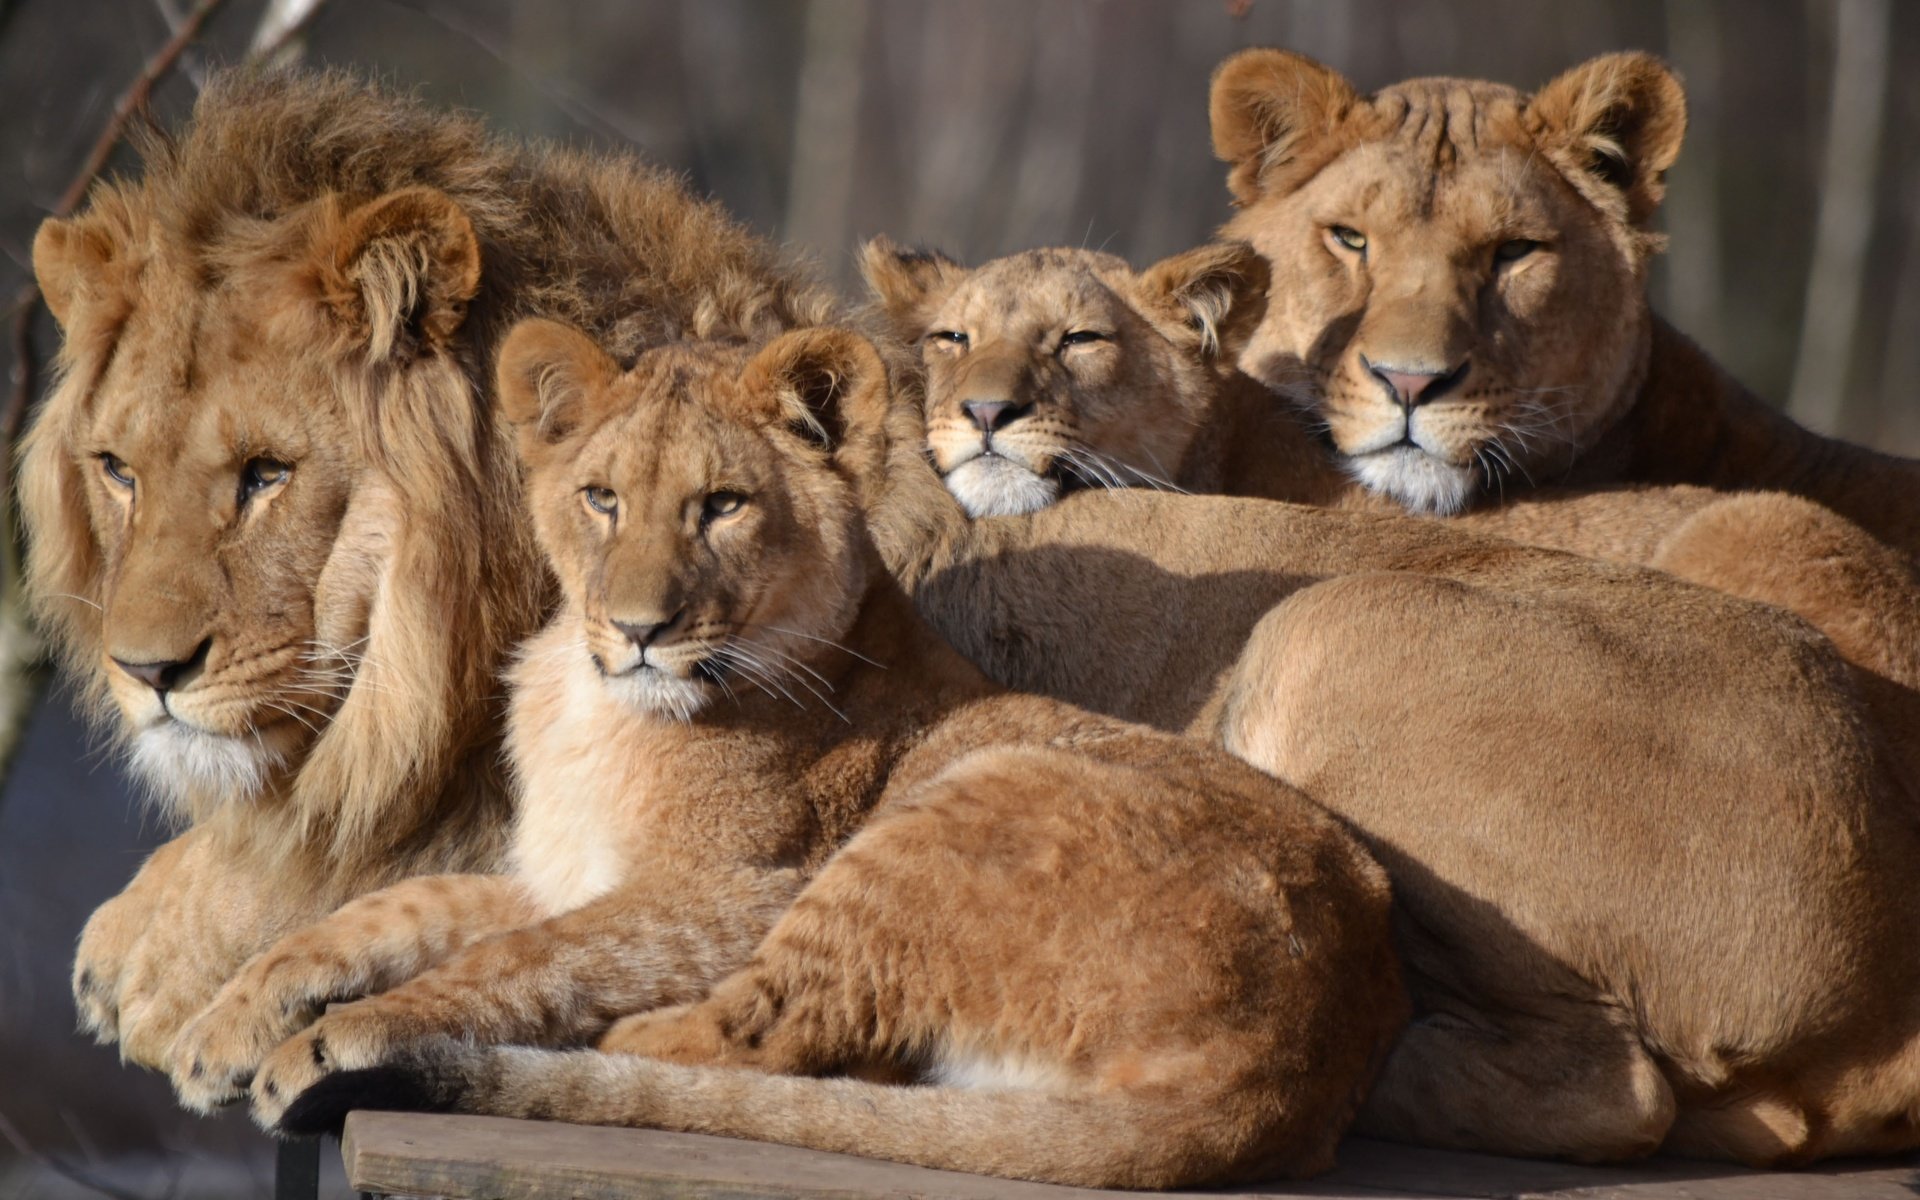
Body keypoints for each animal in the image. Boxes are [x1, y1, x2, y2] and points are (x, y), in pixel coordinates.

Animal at [157, 320, 1405, 1190]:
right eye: (601, 499)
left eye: (722, 506)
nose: (640, 628)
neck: (590, 703)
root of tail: (1292, 1075)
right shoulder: (560, 868)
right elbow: (387, 911)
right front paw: (220, 1029)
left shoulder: (729, 892)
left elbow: (524, 957)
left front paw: (337, 1039)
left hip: (945, 815)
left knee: (758, 1038)